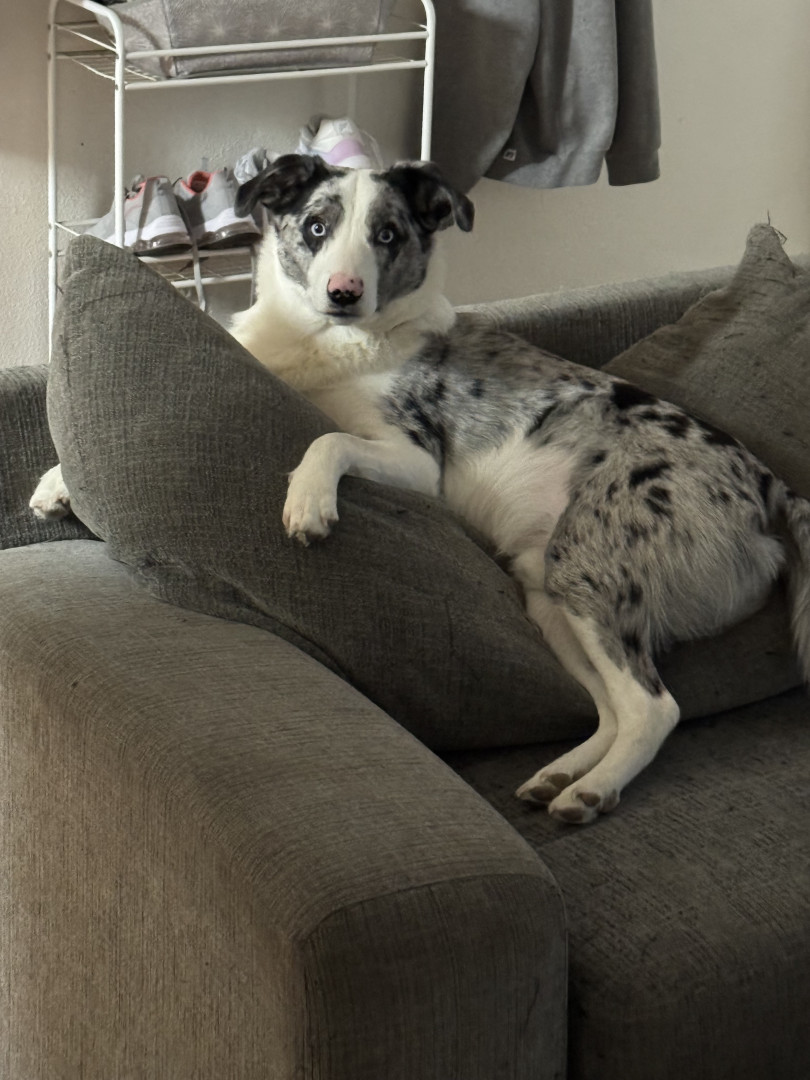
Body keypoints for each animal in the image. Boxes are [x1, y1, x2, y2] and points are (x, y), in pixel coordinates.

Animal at [33, 155, 810, 824]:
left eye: (388, 236)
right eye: (315, 227)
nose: (344, 294)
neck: (323, 346)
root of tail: (772, 486)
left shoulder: (413, 462)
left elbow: (328, 440)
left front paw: (308, 503)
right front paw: (54, 485)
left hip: (589, 565)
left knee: (654, 708)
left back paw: (591, 793)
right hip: (545, 588)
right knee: (611, 708)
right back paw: (563, 775)